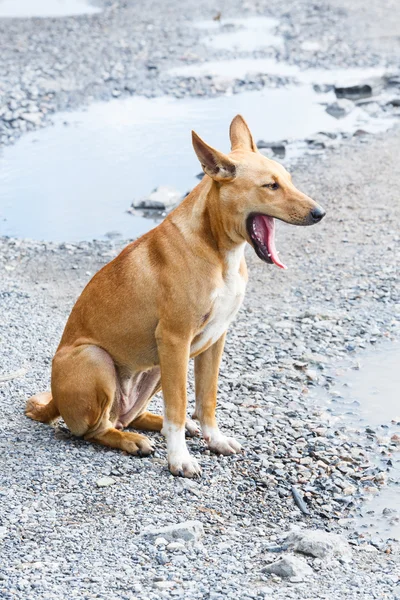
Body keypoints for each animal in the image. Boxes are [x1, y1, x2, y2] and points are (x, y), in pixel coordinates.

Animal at [25, 115, 324, 476]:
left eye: (289, 180)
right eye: (271, 186)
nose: (320, 213)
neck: (219, 249)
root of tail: (54, 400)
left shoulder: (214, 340)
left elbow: (206, 399)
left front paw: (214, 439)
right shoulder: (175, 338)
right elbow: (179, 407)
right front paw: (180, 458)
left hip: (155, 369)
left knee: (132, 416)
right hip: (97, 358)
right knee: (97, 430)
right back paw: (131, 441)